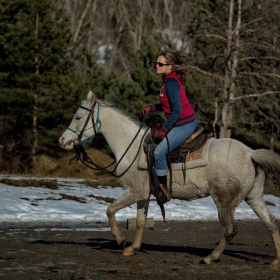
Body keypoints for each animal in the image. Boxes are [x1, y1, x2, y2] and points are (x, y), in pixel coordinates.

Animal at [58, 91, 280, 268]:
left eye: (78, 117)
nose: (62, 140)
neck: (132, 147)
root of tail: (250, 153)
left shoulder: (133, 191)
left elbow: (110, 210)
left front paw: (121, 240)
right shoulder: (143, 195)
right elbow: (140, 221)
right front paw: (132, 248)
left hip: (224, 201)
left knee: (230, 230)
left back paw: (210, 258)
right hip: (254, 197)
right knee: (271, 223)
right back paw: (275, 261)